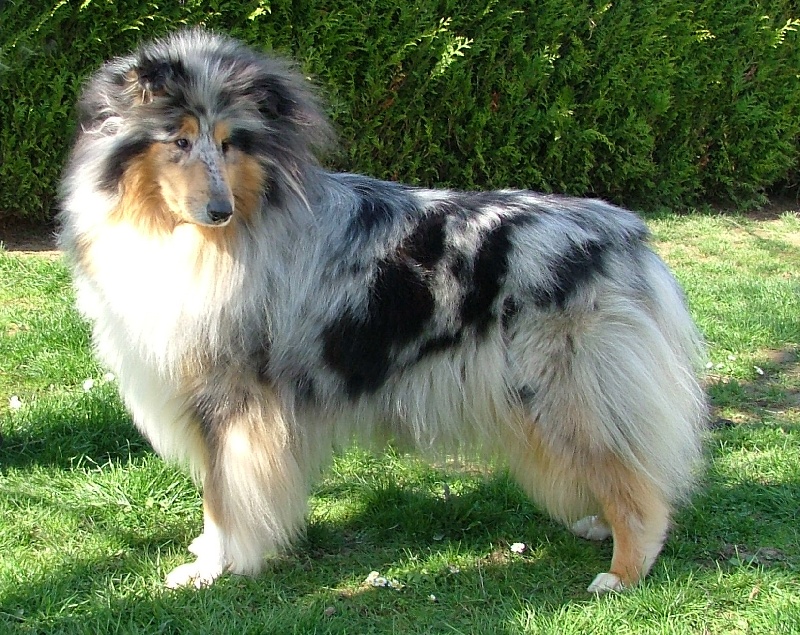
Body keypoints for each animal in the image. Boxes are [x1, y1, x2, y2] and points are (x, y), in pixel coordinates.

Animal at [58, 28, 706, 594]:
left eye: (229, 142)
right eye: (179, 141)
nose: (219, 209)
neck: (210, 236)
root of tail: (625, 234)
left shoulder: (229, 401)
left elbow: (222, 500)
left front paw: (211, 568)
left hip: (567, 395)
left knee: (639, 488)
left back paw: (621, 574)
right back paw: (598, 527)